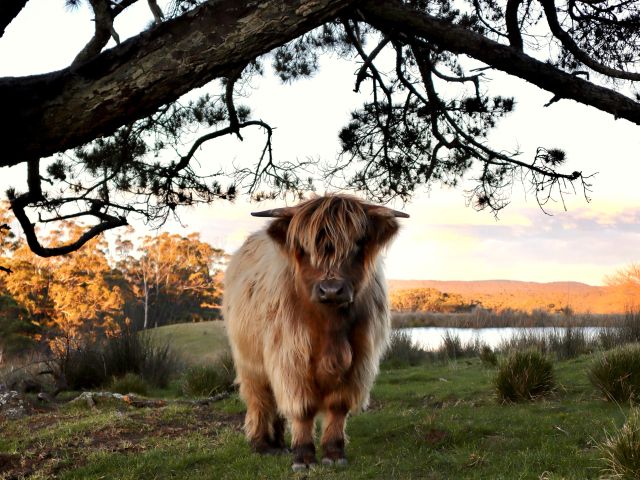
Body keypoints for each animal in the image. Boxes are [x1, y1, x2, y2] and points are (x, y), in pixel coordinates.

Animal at [223, 194, 408, 471]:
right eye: (304, 247)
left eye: (358, 244)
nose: (331, 290)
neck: (330, 328)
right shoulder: (290, 360)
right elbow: (302, 408)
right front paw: (303, 456)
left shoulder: (359, 361)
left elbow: (338, 406)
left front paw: (334, 453)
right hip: (250, 362)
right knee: (260, 399)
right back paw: (263, 445)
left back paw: (279, 443)